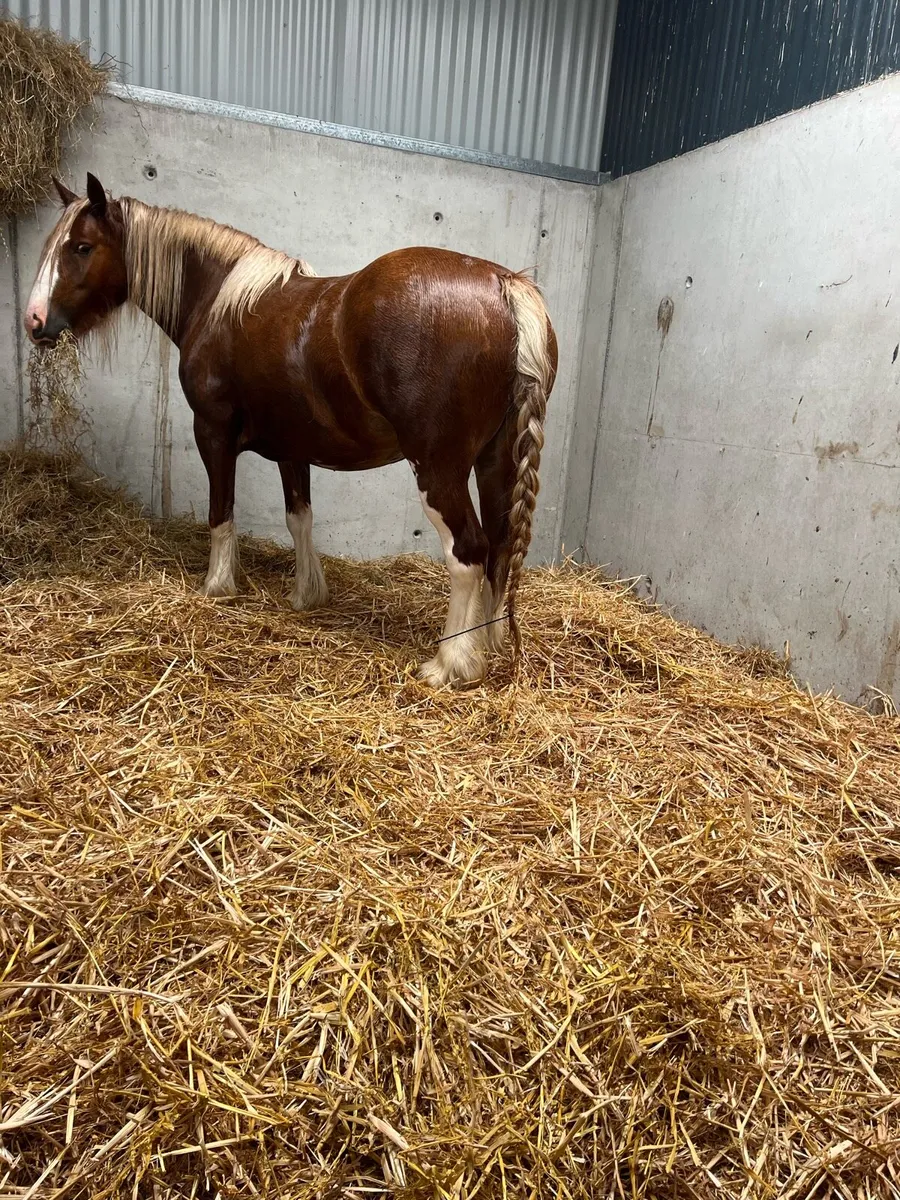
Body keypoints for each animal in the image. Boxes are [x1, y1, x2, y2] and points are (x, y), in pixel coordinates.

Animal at [24, 173, 558, 687]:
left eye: (82, 247)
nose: (33, 321)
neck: (219, 301)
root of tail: (504, 285)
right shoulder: (293, 448)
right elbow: (299, 517)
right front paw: (307, 595)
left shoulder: (212, 432)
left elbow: (222, 511)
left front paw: (218, 587)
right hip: (495, 463)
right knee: (500, 547)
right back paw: (485, 646)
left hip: (439, 469)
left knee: (468, 551)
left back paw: (452, 663)